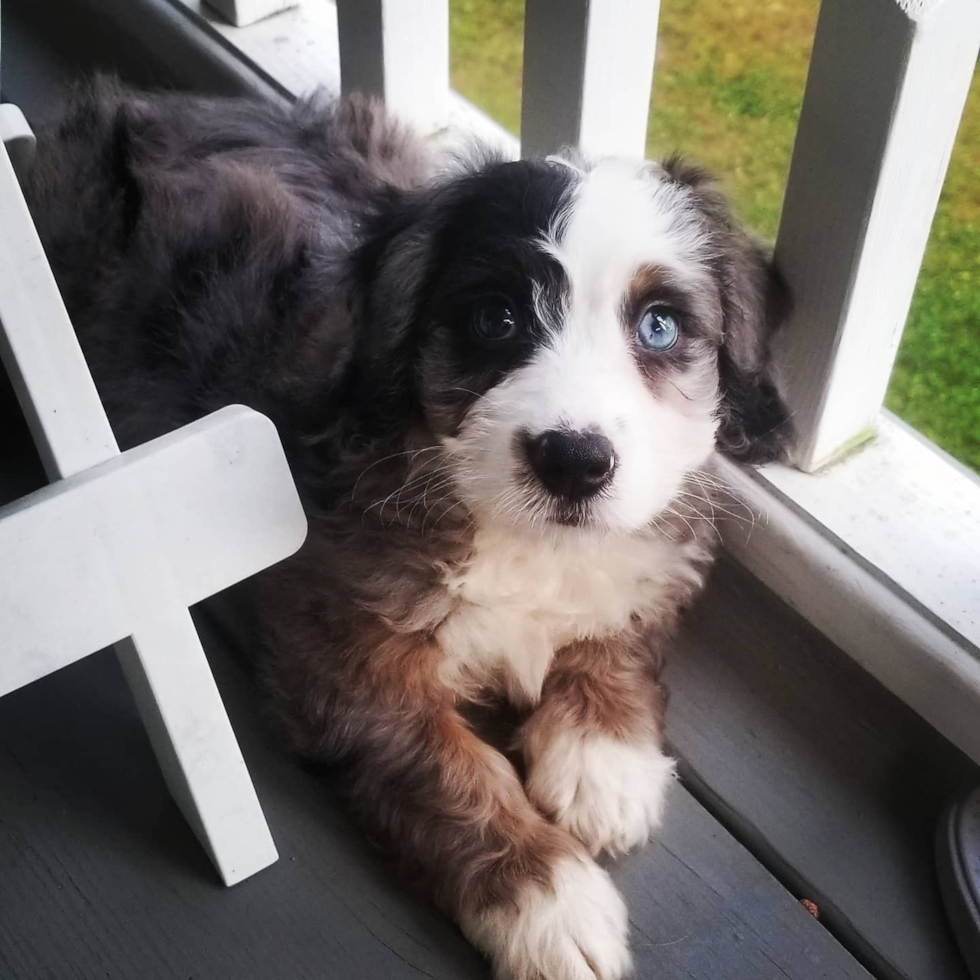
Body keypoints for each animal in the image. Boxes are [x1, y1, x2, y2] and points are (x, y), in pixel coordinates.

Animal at [26, 78, 792, 980]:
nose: (573, 462)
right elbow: (449, 770)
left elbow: (617, 634)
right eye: (497, 319)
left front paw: (606, 764)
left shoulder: (650, 553)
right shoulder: (346, 657)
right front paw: (549, 901)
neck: (519, 537)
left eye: (661, 326)